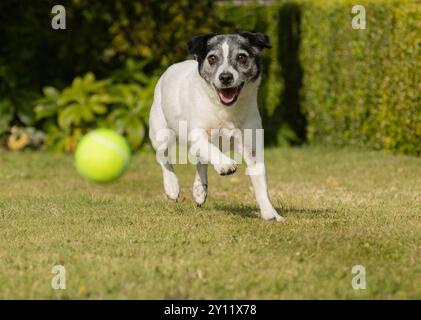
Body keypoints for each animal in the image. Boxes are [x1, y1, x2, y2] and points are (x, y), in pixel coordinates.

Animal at [148, 33, 282, 222]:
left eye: (242, 57)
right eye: (212, 58)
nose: (225, 77)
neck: (226, 110)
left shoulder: (252, 148)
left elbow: (260, 182)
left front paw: (270, 213)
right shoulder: (197, 136)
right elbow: (210, 149)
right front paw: (225, 164)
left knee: (200, 162)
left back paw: (199, 189)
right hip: (161, 133)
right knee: (163, 158)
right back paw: (172, 186)